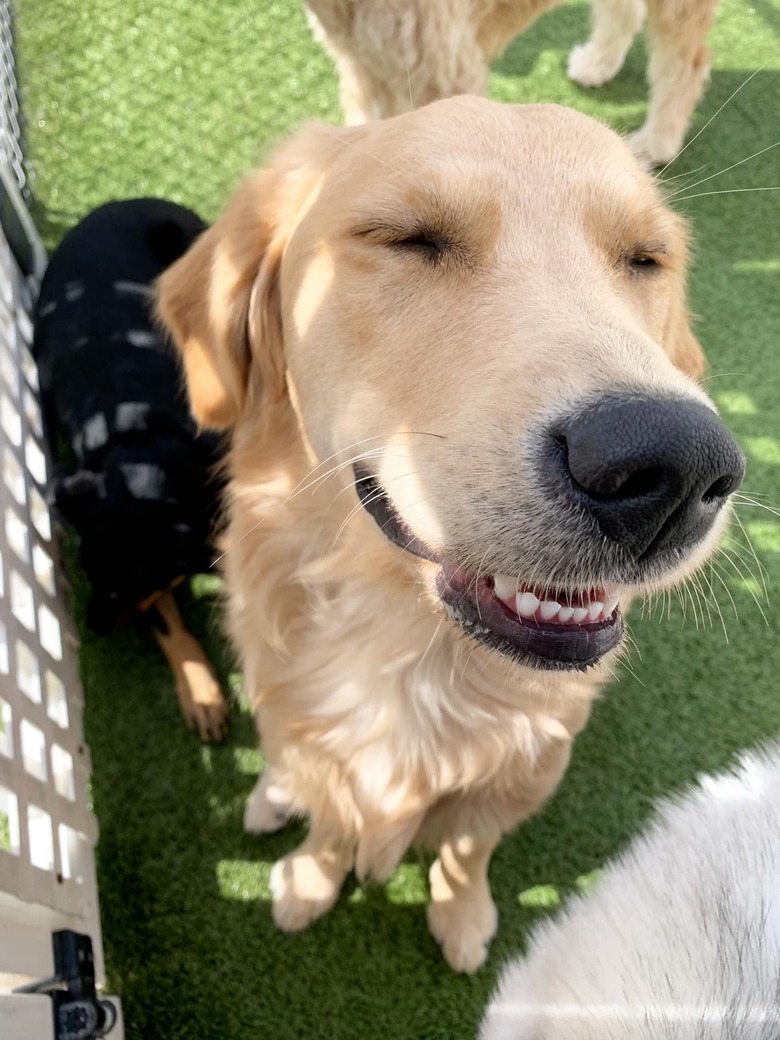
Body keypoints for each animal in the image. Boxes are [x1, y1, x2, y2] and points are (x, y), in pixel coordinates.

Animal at [34, 198, 228, 740]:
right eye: (83, 572)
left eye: (131, 587)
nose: (95, 627)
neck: (140, 438)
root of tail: (114, 205)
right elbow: (166, 620)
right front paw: (201, 692)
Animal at [157, 93, 744, 969]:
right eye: (408, 238)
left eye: (645, 260)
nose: (676, 467)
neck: (412, 649)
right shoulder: (315, 737)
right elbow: (333, 819)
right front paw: (310, 880)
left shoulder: (528, 768)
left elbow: (468, 847)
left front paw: (462, 916)